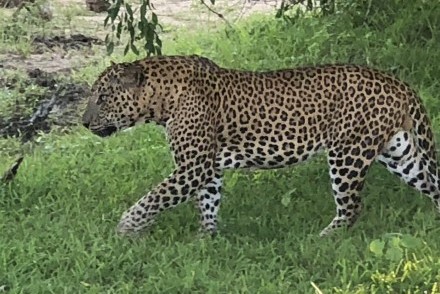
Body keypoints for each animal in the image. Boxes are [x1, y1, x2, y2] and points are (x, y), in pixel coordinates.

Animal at [81, 55, 440, 238]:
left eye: (102, 97)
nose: (83, 122)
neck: (161, 100)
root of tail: (398, 83)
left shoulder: (193, 167)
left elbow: (153, 197)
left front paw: (125, 228)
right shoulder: (207, 168)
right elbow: (207, 203)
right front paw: (207, 240)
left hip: (348, 153)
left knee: (351, 207)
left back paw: (324, 238)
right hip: (399, 153)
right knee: (432, 183)